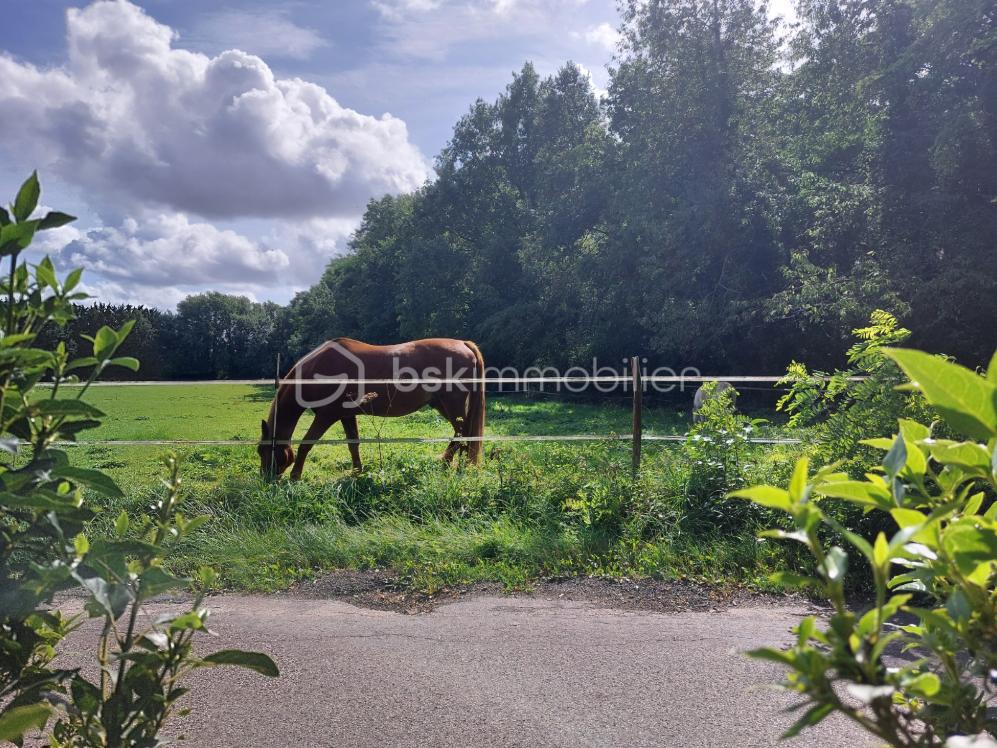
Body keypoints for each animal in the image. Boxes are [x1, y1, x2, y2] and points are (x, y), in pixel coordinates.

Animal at [258, 338, 486, 480]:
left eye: (262, 451)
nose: (265, 479)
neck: (317, 369)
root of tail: (464, 344)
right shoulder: (346, 415)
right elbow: (353, 443)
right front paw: (357, 471)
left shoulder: (326, 416)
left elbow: (306, 444)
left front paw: (296, 476)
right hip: (442, 405)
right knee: (462, 434)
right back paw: (457, 464)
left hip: (452, 404)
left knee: (463, 433)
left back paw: (449, 464)